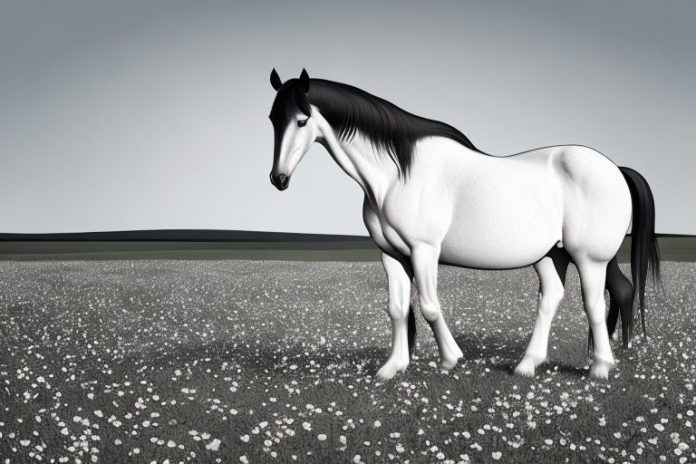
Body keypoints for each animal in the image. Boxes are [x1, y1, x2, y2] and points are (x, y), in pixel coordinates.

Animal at [267, 68, 660, 380]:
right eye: (272, 118)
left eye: (301, 120)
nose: (278, 179)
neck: (396, 175)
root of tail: (615, 168)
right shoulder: (391, 255)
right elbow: (397, 308)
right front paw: (391, 368)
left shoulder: (423, 251)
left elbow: (428, 305)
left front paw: (450, 358)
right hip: (552, 255)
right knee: (554, 298)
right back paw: (528, 364)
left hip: (589, 258)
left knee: (594, 302)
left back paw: (600, 367)